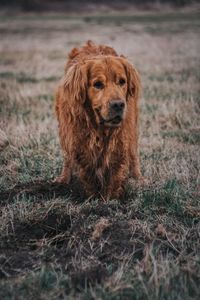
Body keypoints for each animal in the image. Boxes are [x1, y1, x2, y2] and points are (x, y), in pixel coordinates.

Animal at [54, 40, 142, 199]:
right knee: (67, 158)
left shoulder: (121, 136)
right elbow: (86, 168)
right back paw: (64, 178)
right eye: (98, 84)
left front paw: (111, 197)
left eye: (122, 81)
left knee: (133, 154)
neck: (99, 128)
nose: (118, 105)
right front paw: (93, 195)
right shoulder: (78, 138)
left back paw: (139, 178)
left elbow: (116, 167)